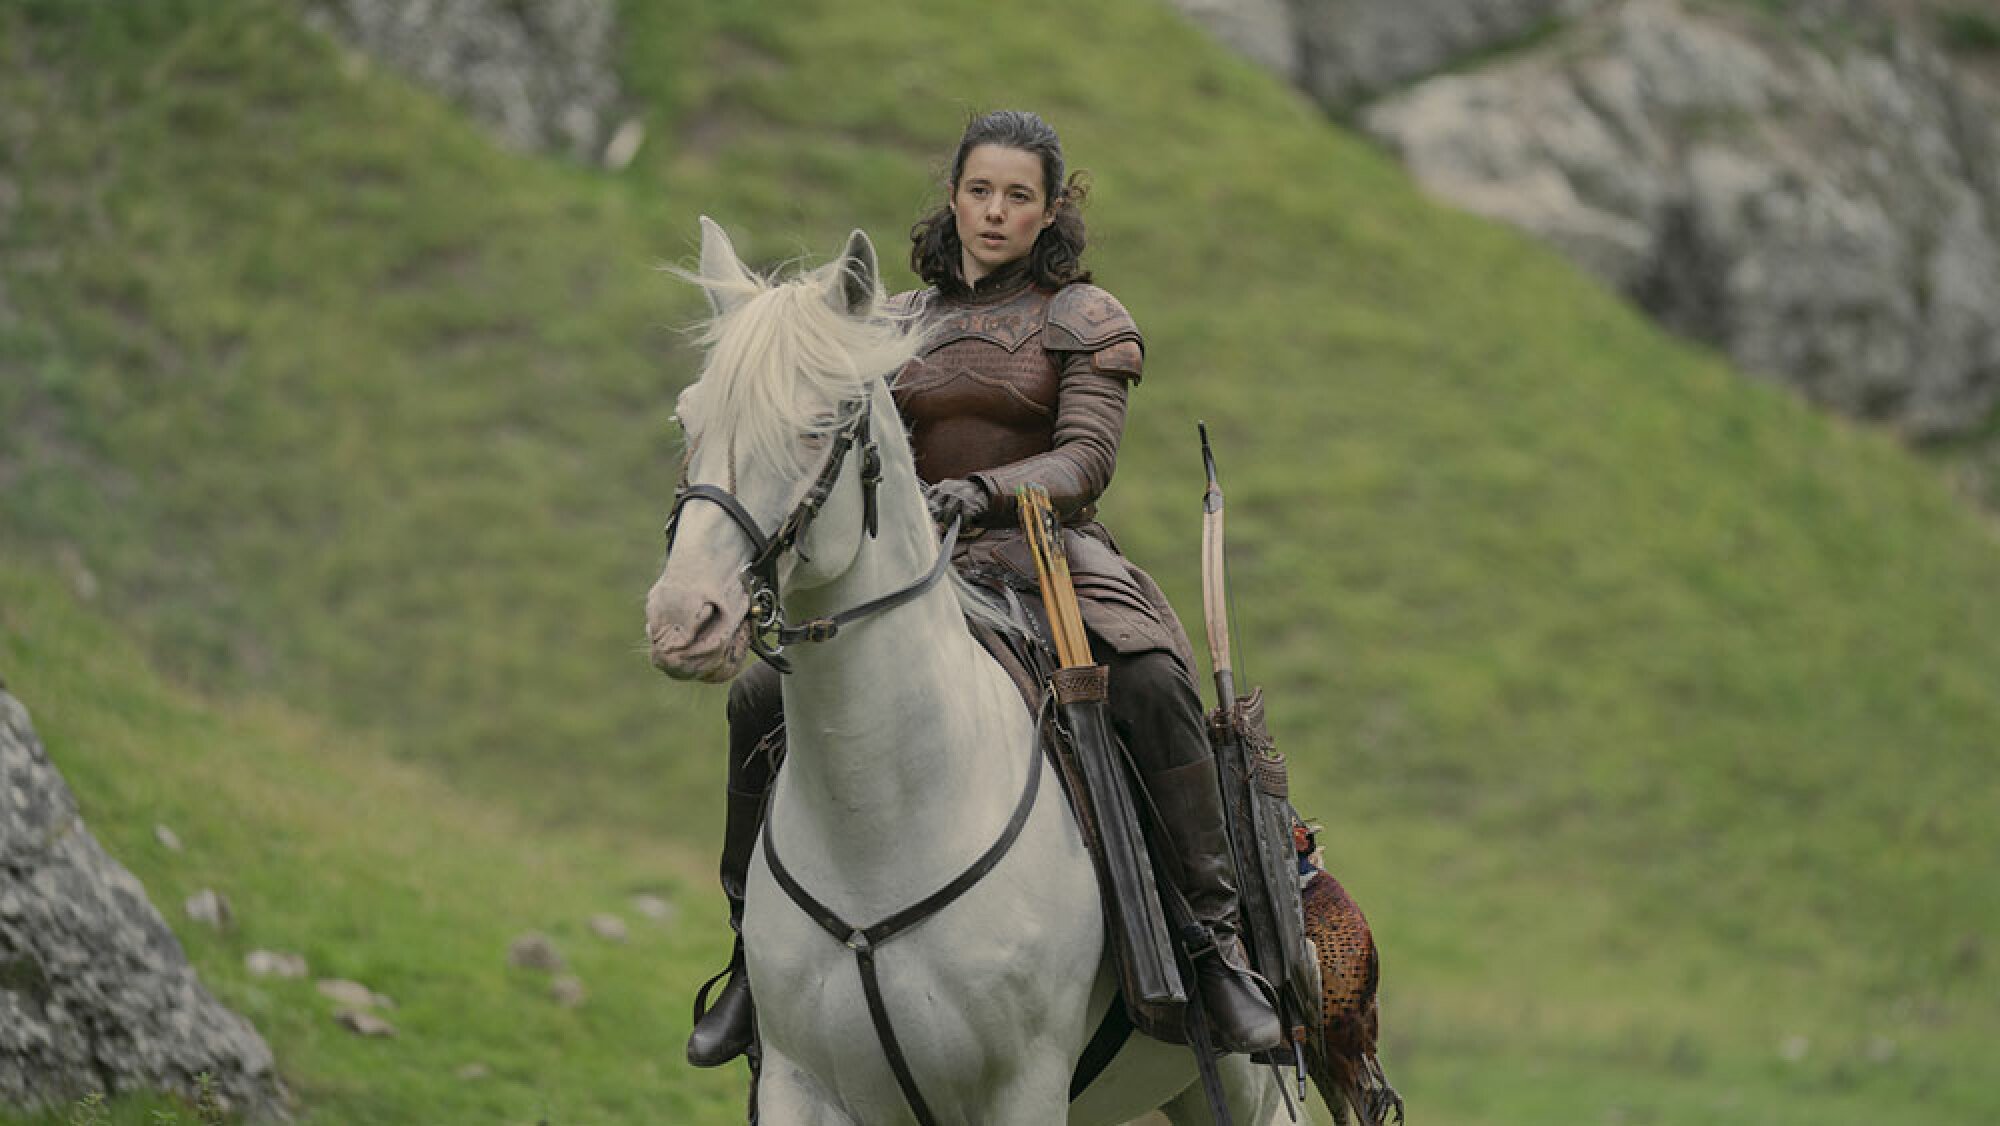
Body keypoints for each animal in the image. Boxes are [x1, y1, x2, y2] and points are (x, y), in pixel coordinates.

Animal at [644, 220, 1296, 1126]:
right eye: (687, 419)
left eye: (820, 423)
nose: (684, 617)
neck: (881, 825)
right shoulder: (798, 1084)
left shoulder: (1022, 1090)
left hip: (1249, 1088)